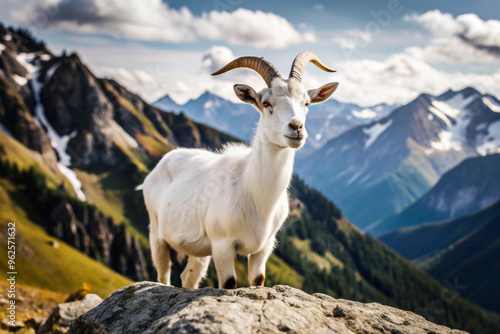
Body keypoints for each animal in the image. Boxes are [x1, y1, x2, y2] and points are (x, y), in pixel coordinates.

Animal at [145, 51, 340, 288]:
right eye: (266, 103)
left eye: (307, 103)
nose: (296, 128)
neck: (252, 189)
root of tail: (164, 161)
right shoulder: (222, 245)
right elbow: (229, 283)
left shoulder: (264, 248)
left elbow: (258, 279)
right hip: (157, 233)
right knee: (163, 274)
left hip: (199, 249)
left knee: (188, 278)